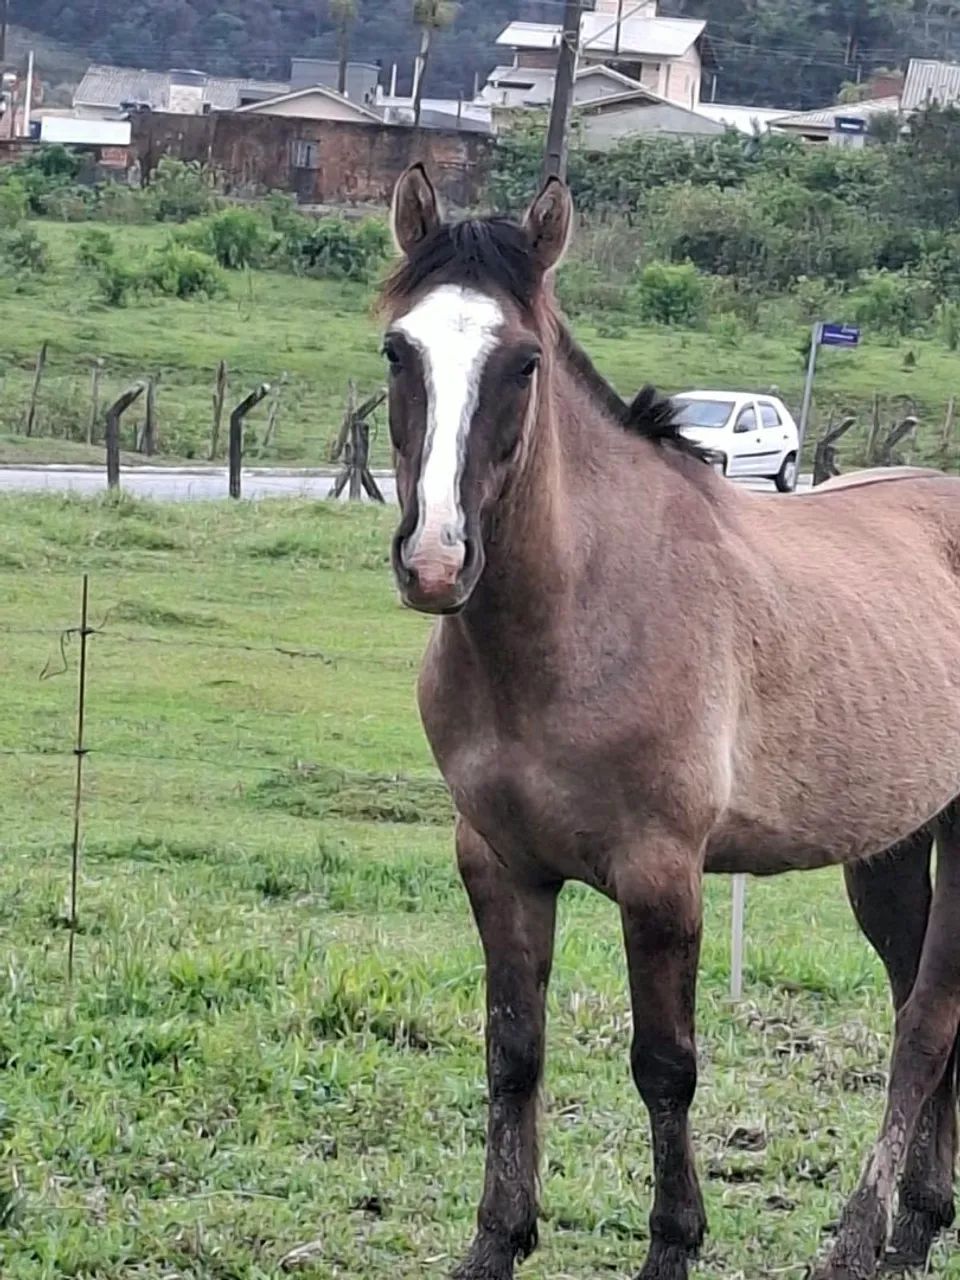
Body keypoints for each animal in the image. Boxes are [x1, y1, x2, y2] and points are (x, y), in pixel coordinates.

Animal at [378, 162, 960, 1280]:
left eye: (522, 362)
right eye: (398, 347)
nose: (435, 562)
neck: (575, 616)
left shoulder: (662, 875)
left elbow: (665, 1066)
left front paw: (673, 1243)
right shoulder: (499, 864)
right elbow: (513, 1051)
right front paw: (496, 1240)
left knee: (926, 1019)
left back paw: (862, 1233)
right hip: (892, 848)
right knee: (927, 1002)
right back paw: (918, 1219)